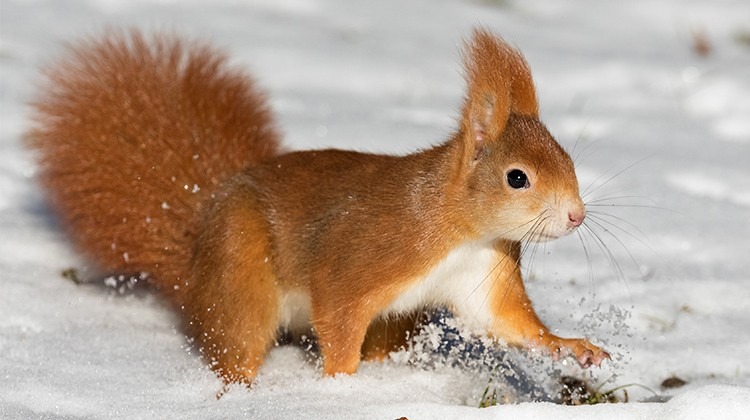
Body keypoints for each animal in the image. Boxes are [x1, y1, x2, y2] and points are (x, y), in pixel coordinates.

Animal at [26, 28, 612, 384]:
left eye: (568, 159)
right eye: (517, 178)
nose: (577, 215)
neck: (460, 228)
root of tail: (197, 253)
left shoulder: (483, 272)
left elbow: (510, 324)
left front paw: (572, 347)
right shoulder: (365, 255)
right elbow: (338, 312)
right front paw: (341, 387)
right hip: (241, 267)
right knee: (238, 340)